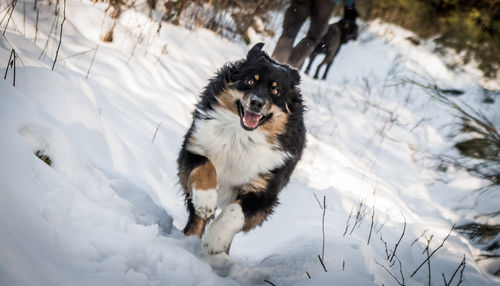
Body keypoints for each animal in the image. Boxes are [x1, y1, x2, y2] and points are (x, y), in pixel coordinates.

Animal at [178, 43, 306, 255]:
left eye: (276, 91)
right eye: (250, 81)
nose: (256, 102)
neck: (240, 136)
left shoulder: (265, 193)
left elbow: (236, 212)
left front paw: (216, 239)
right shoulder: (193, 148)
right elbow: (205, 166)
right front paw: (206, 201)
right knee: (196, 221)